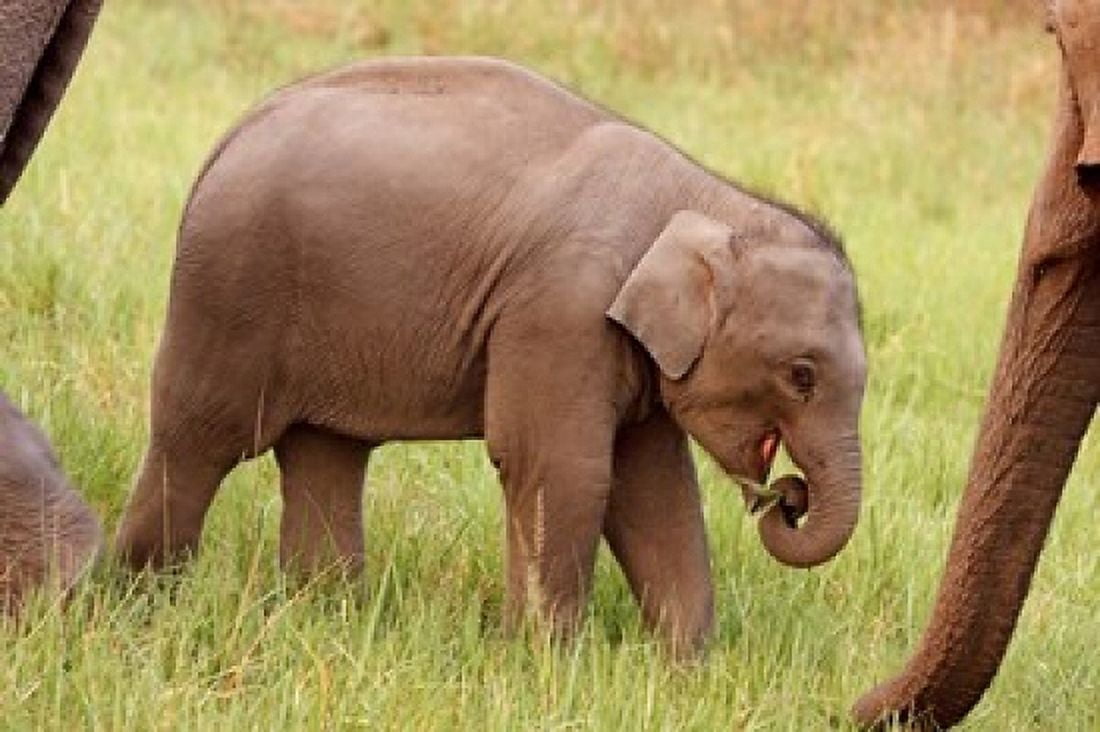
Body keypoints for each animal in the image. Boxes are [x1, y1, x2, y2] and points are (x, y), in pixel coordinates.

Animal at [113, 56, 867, 652]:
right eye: (801, 375)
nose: (787, 496)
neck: (707, 197)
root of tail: (230, 135)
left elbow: (654, 487)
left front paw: (685, 669)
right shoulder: (561, 311)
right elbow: (560, 465)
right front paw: (548, 665)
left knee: (325, 451)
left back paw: (324, 620)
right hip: (230, 285)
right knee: (200, 439)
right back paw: (139, 603)